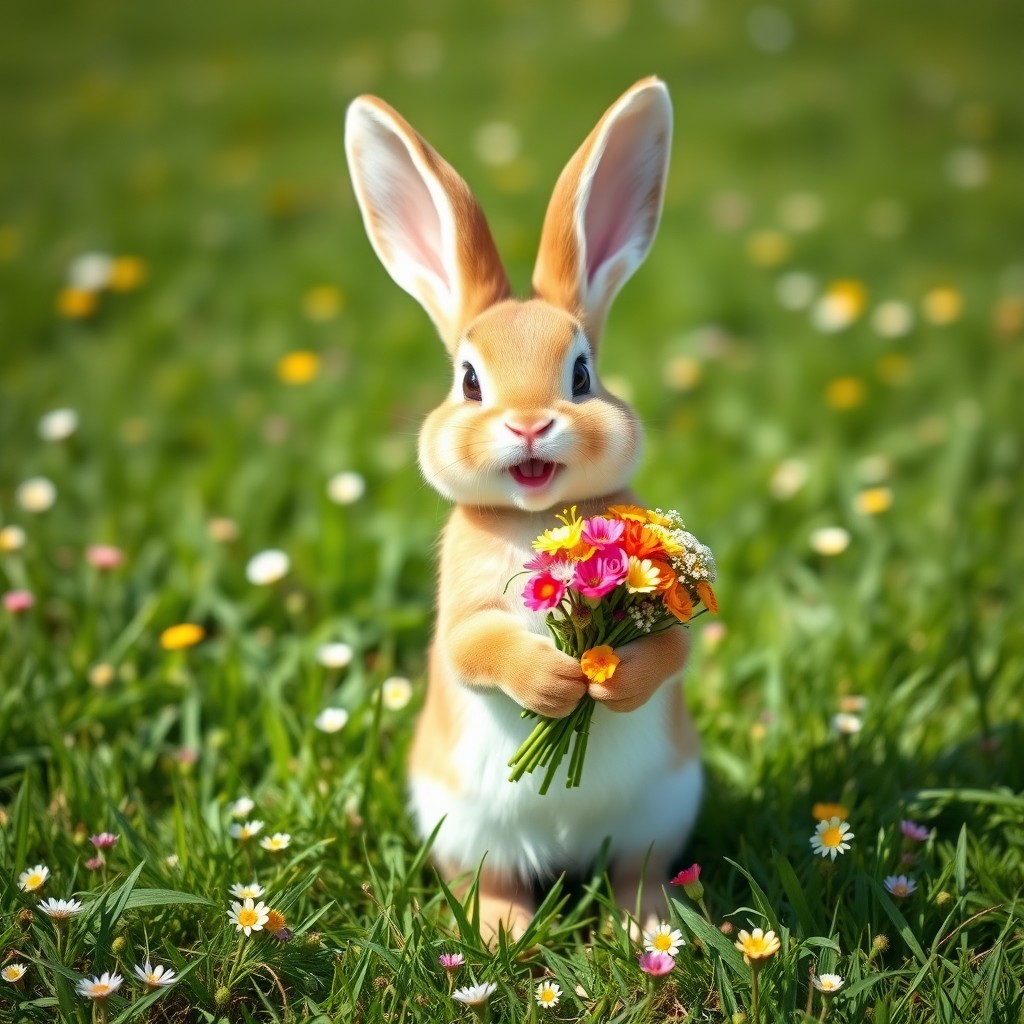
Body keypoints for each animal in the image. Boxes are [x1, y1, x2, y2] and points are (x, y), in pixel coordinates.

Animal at [344, 77, 702, 940]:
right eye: (469, 381)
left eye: (582, 373)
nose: (530, 424)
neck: (537, 516)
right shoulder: (464, 608)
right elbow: (474, 647)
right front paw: (555, 684)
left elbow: (672, 650)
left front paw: (610, 682)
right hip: (468, 829)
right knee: (492, 877)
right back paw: (503, 929)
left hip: (659, 815)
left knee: (637, 871)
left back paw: (647, 927)